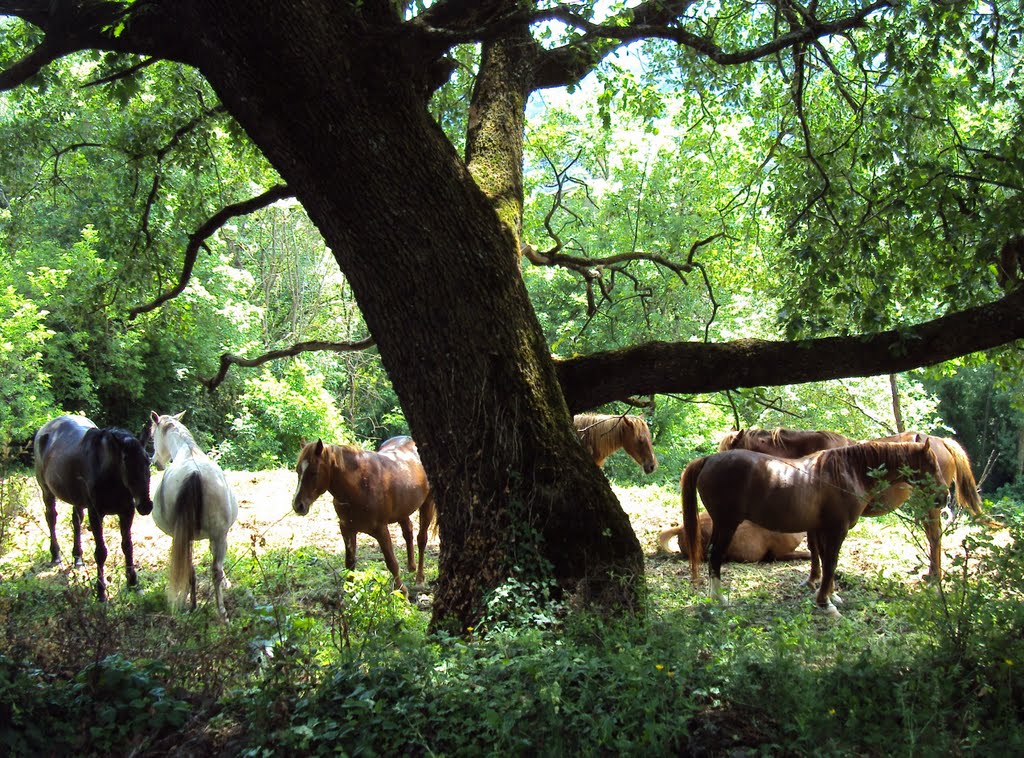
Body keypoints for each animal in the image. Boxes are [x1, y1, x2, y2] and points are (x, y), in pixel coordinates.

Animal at [33, 411, 153, 602]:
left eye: (147, 461)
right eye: (125, 461)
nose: (145, 505)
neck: (111, 477)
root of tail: (43, 430)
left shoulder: (127, 512)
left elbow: (127, 546)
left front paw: (133, 584)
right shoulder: (96, 514)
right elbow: (101, 553)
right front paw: (101, 592)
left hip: (76, 500)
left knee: (76, 522)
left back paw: (78, 558)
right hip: (47, 491)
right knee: (51, 519)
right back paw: (56, 555)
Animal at [149, 411, 237, 618]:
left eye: (152, 435)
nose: (155, 461)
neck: (188, 451)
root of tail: (194, 473)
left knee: (195, 569)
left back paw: (195, 605)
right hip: (216, 535)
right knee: (213, 570)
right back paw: (220, 612)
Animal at [290, 434, 434, 594]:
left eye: (314, 472)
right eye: (297, 471)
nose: (298, 505)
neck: (360, 485)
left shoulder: (381, 530)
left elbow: (391, 562)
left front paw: (402, 591)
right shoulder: (347, 529)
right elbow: (350, 563)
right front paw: (350, 592)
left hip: (427, 504)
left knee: (421, 539)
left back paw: (420, 578)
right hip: (403, 509)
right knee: (408, 531)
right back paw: (411, 567)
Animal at [684, 440, 937, 614]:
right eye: (931, 465)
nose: (942, 497)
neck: (847, 473)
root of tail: (709, 459)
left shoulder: (823, 530)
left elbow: (825, 561)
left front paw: (830, 595)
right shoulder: (837, 530)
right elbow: (831, 562)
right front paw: (825, 602)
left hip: (721, 525)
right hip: (728, 524)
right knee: (716, 556)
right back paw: (719, 599)